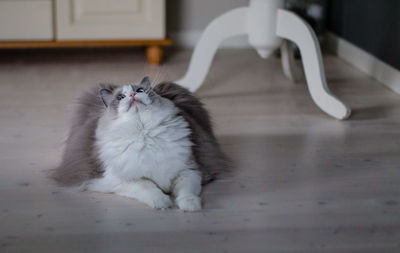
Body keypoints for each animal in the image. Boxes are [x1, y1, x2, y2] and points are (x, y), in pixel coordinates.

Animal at [53, 76, 228, 211]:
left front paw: (190, 207)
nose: (132, 94)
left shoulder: (189, 170)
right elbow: (149, 188)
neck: (144, 133)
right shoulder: (121, 179)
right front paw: (163, 203)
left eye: (140, 91)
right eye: (120, 97)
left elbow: (187, 192)